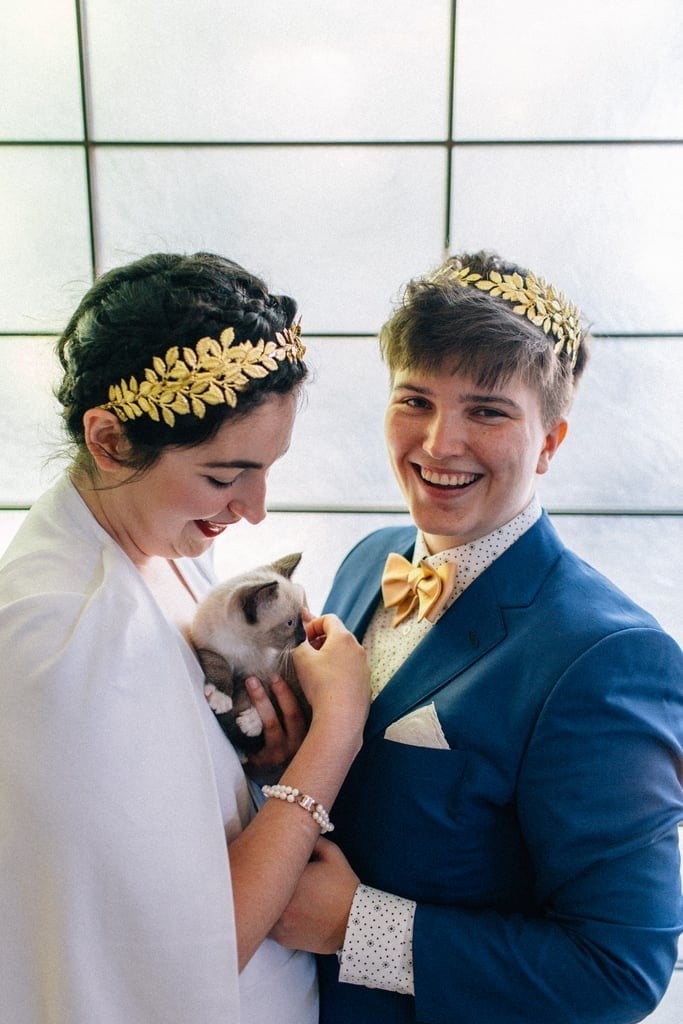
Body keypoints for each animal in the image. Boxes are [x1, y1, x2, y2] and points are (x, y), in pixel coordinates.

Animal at [192, 552, 309, 753]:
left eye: (300, 619)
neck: (245, 647)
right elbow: (218, 663)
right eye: (290, 623)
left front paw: (251, 723)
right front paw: (221, 697)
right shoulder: (206, 647)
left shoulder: (263, 673)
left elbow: (262, 697)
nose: (303, 637)